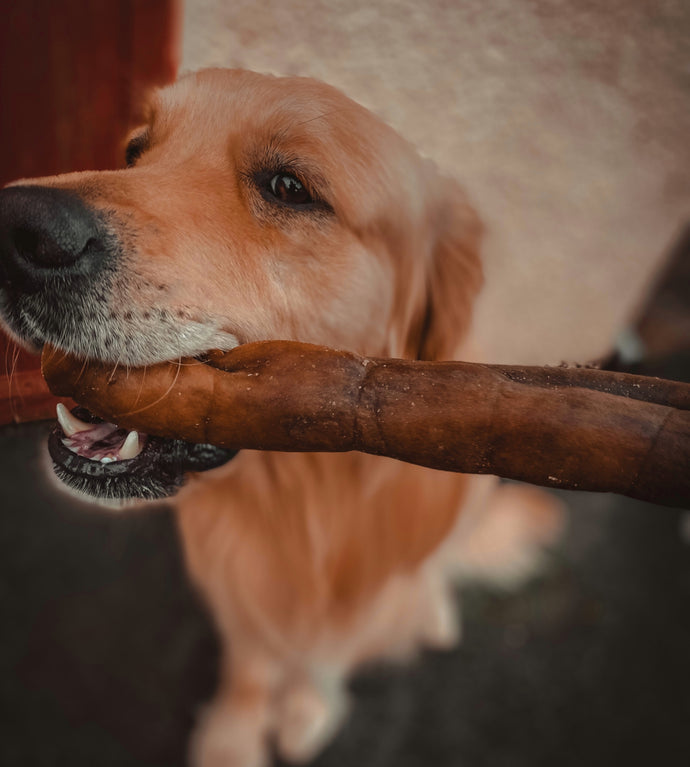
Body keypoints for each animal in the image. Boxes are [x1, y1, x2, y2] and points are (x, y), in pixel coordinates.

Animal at [0, 69, 560, 764]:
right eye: (135, 151)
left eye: (289, 187)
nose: (18, 230)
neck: (300, 506)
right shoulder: (237, 583)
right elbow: (253, 660)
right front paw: (234, 736)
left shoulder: (359, 596)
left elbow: (326, 654)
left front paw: (306, 708)